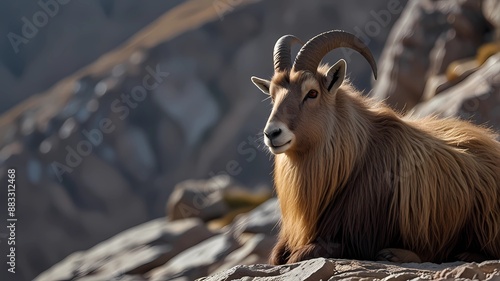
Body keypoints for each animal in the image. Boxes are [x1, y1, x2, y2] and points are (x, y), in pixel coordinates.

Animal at [252, 30, 500, 262]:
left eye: (312, 92)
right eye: (272, 95)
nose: (272, 133)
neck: (355, 161)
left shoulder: (355, 239)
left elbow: (300, 255)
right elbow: (277, 256)